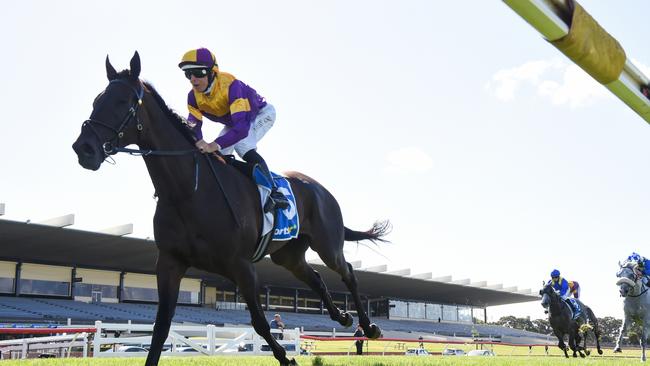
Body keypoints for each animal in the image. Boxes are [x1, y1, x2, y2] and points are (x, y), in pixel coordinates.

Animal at [72, 52, 384, 366]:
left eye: (122, 101)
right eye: (97, 100)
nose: (84, 148)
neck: (189, 191)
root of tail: (320, 189)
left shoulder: (242, 266)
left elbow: (260, 323)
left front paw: (287, 358)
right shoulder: (170, 263)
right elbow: (160, 327)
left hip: (327, 244)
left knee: (347, 272)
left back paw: (369, 326)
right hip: (288, 255)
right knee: (317, 278)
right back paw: (343, 317)